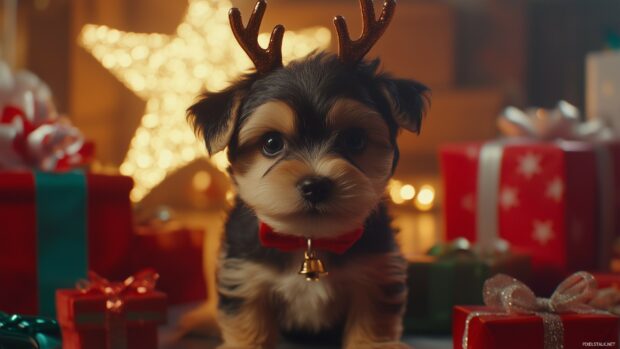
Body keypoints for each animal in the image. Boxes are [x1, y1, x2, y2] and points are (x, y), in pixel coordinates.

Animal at [189, 1, 428, 346]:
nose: (315, 185)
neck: (307, 239)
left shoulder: (376, 273)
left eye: (354, 140)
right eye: (271, 143)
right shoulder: (245, 276)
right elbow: (248, 327)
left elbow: (373, 324)